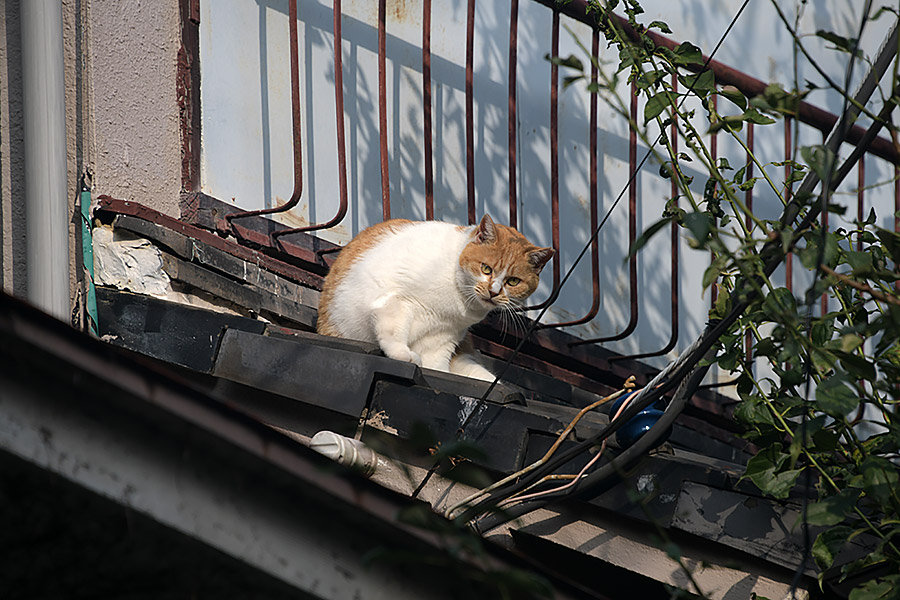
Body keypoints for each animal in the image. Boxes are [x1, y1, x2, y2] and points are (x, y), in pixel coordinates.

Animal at [316, 217, 556, 380]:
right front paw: (402, 354)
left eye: (513, 281)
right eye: (486, 268)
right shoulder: (397, 301)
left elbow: (438, 365)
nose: (494, 291)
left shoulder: (444, 336)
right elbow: (393, 330)